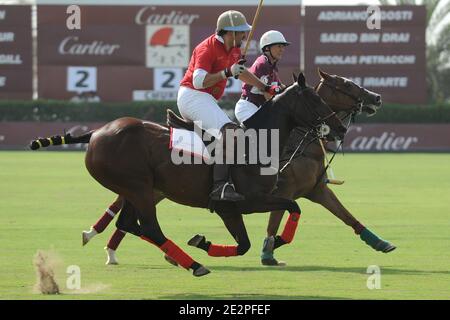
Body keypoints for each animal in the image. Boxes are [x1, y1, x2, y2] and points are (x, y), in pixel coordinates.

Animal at [29, 72, 346, 276]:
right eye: (315, 99)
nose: (341, 128)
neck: (257, 141)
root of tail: (95, 133)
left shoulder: (234, 209)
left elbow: (249, 240)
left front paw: (206, 242)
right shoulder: (241, 202)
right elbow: (286, 211)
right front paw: (272, 242)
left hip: (136, 189)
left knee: (129, 223)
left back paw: (177, 256)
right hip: (138, 188)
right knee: (149, 228)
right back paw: (194, 264)